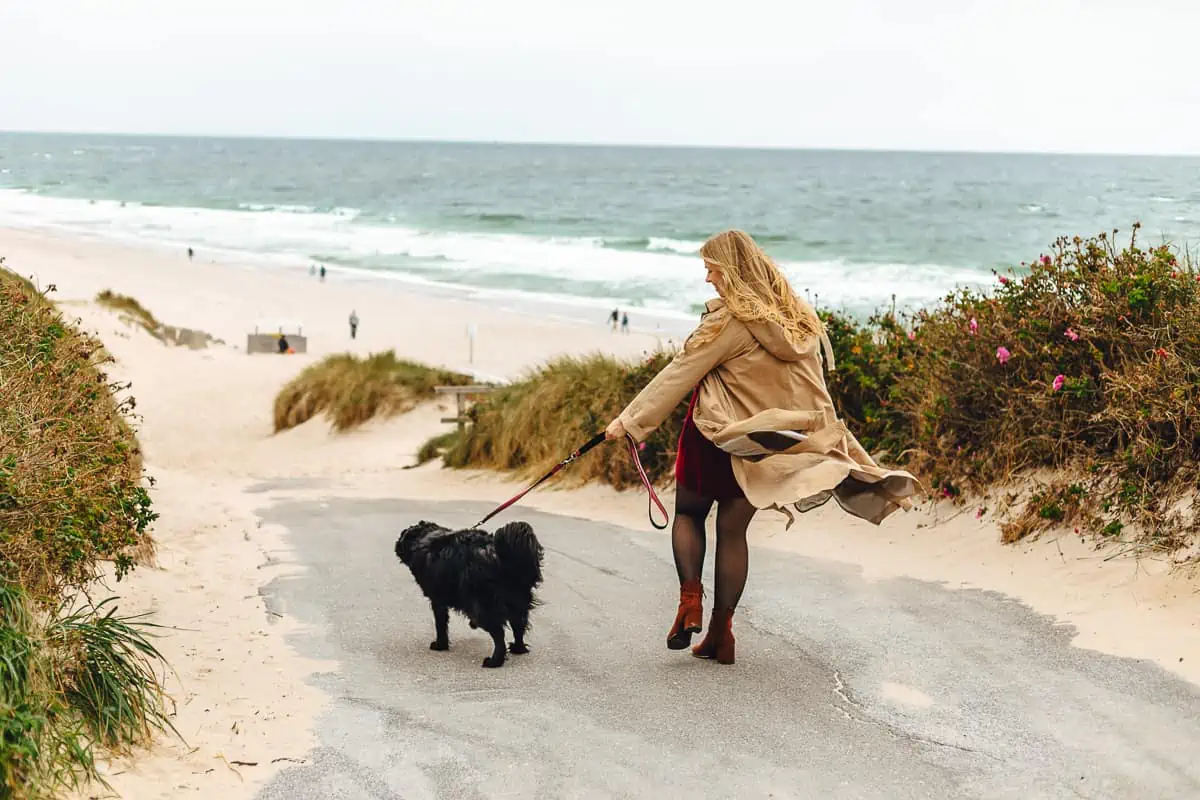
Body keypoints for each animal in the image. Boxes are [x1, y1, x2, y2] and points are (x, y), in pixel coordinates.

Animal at [393, 522, 544, 666]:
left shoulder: (438, 600)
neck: (424, 537)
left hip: (486, 605)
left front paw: (440, 645)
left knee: (499, 634)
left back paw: (494, 661)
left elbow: (440, 624)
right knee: (519, 626)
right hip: (517, 601)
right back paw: (518, 649)